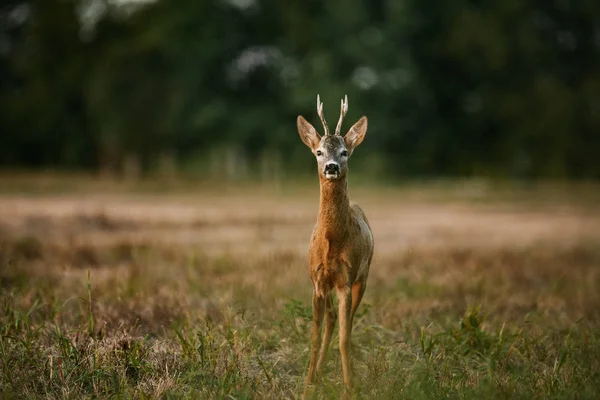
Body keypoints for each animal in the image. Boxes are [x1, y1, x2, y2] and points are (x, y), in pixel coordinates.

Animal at [296, 94, 372, 396]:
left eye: (345, 152)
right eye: (318, 151)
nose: (331, 167)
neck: (331, 242)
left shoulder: (345, 280)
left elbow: (344, 337)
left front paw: (350, 387)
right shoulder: (317, 281)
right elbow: (316, 337)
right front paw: (307, 385)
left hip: (364, 276)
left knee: (346, 322)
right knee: (330, 321)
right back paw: (317, 373)